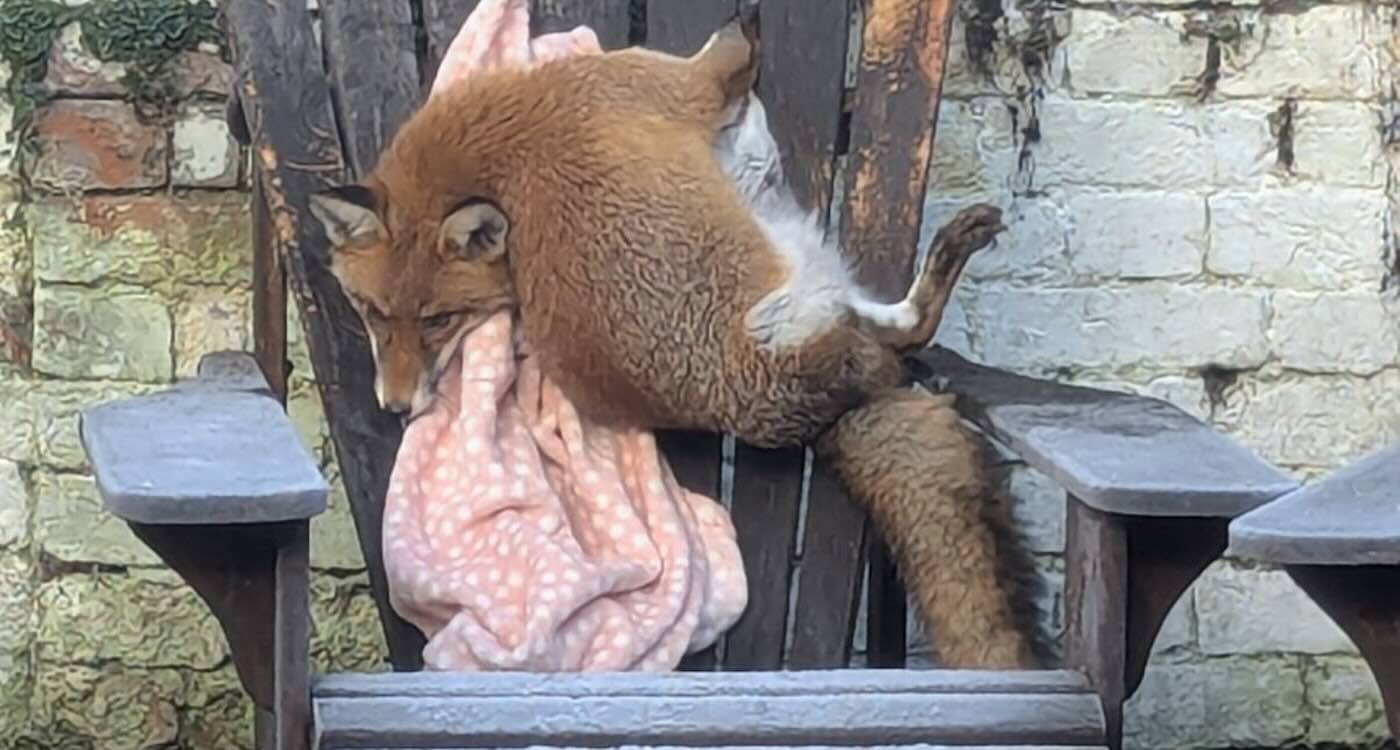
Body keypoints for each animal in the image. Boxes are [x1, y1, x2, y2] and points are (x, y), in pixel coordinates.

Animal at [308, 14, 1044, 668]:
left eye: (436, 321)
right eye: (375, 313)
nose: (397, 407)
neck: (502, 128)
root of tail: (807, 409)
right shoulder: (674, 84)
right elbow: (729, 60)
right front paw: (744, 39)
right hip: (805, 277)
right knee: (909, 330)